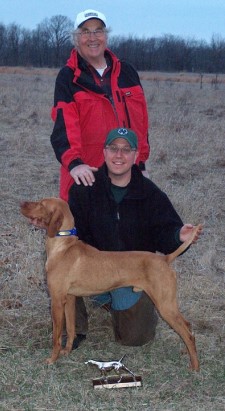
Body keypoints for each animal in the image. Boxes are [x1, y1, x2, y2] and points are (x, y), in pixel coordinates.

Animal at [20, 198, 201, 372]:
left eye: (41, 204)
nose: (21, 204)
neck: (63, 246)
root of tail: (165, 258)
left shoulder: (56, 300)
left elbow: (56, 336)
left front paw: (52, 359)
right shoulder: (69, 298)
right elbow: (71, 329)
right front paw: (67, 351)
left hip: (165, 306)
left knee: (187, 333)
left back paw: (195, 367)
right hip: (168, 305)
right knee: (188, 326)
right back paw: (187, 353)